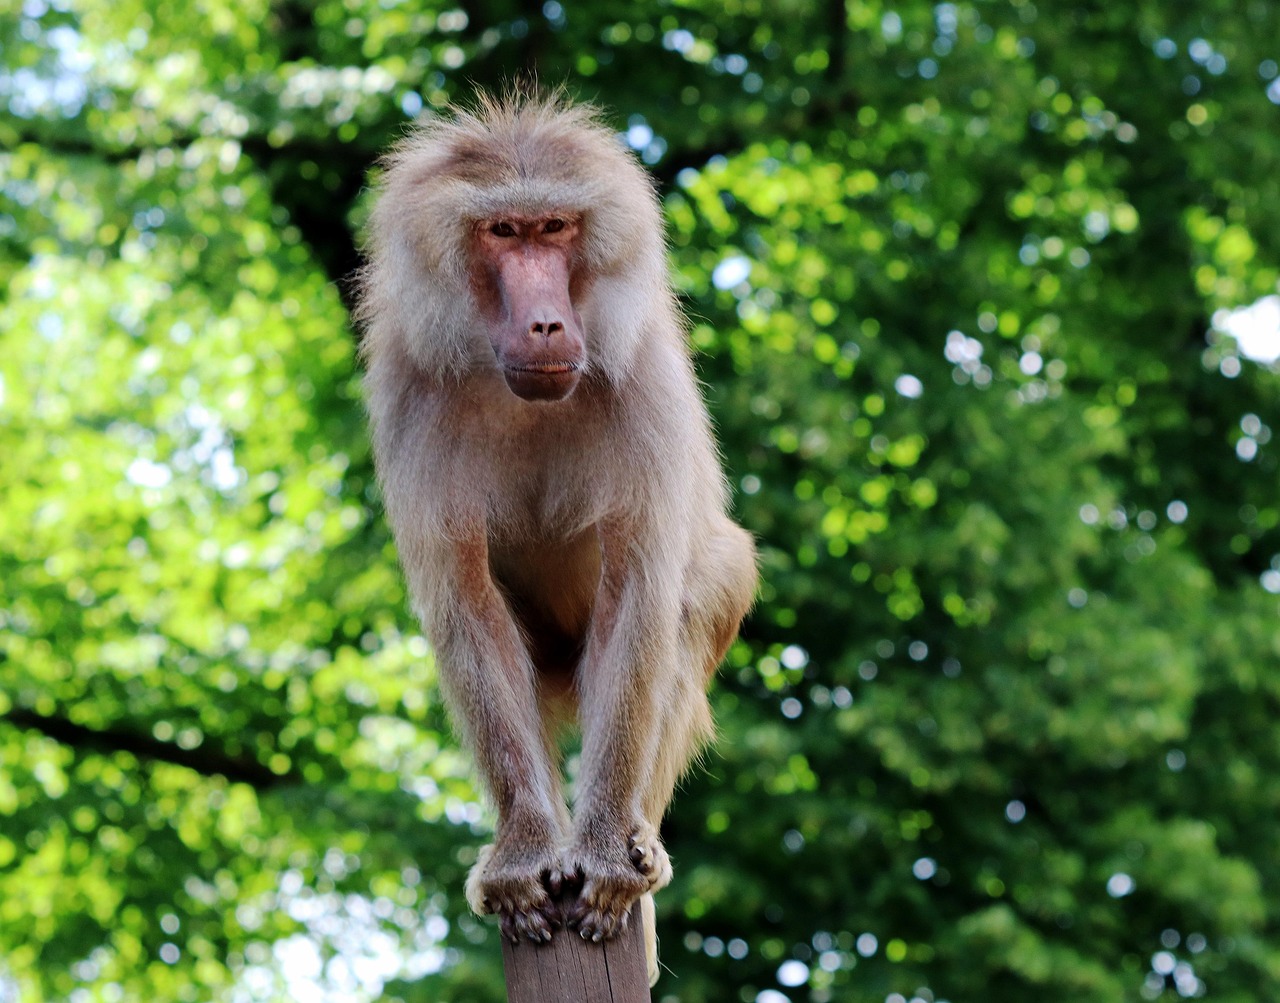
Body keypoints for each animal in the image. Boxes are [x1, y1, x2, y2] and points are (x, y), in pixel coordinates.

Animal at [356, 92, 757, 984]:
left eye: (556, 228)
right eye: (504, 232)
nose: (546, 324)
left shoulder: (642, 379)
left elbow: (639, 593)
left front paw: (606, 854)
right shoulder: (409, 391)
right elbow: (468, 604)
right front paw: (522, 857)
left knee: (701, 591)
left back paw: (641, 842)